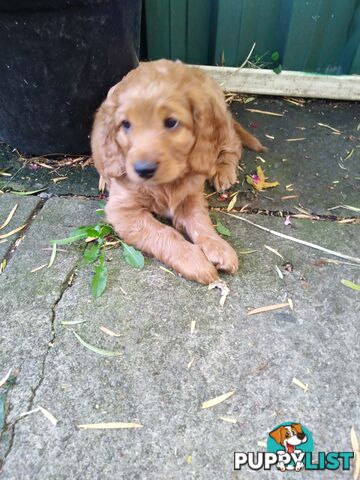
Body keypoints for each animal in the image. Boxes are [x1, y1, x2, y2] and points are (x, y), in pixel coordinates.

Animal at [92, 60, 268, 284]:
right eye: (125, 124)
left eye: (171, 122)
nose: (143, 169)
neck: (166, 184)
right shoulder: (123, 211)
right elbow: (164, 233)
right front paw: (195, 261)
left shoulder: (191, 197)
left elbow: (201, 224)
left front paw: (219, 247)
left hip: (221, 118)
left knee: (233, 143)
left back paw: (223, 172)